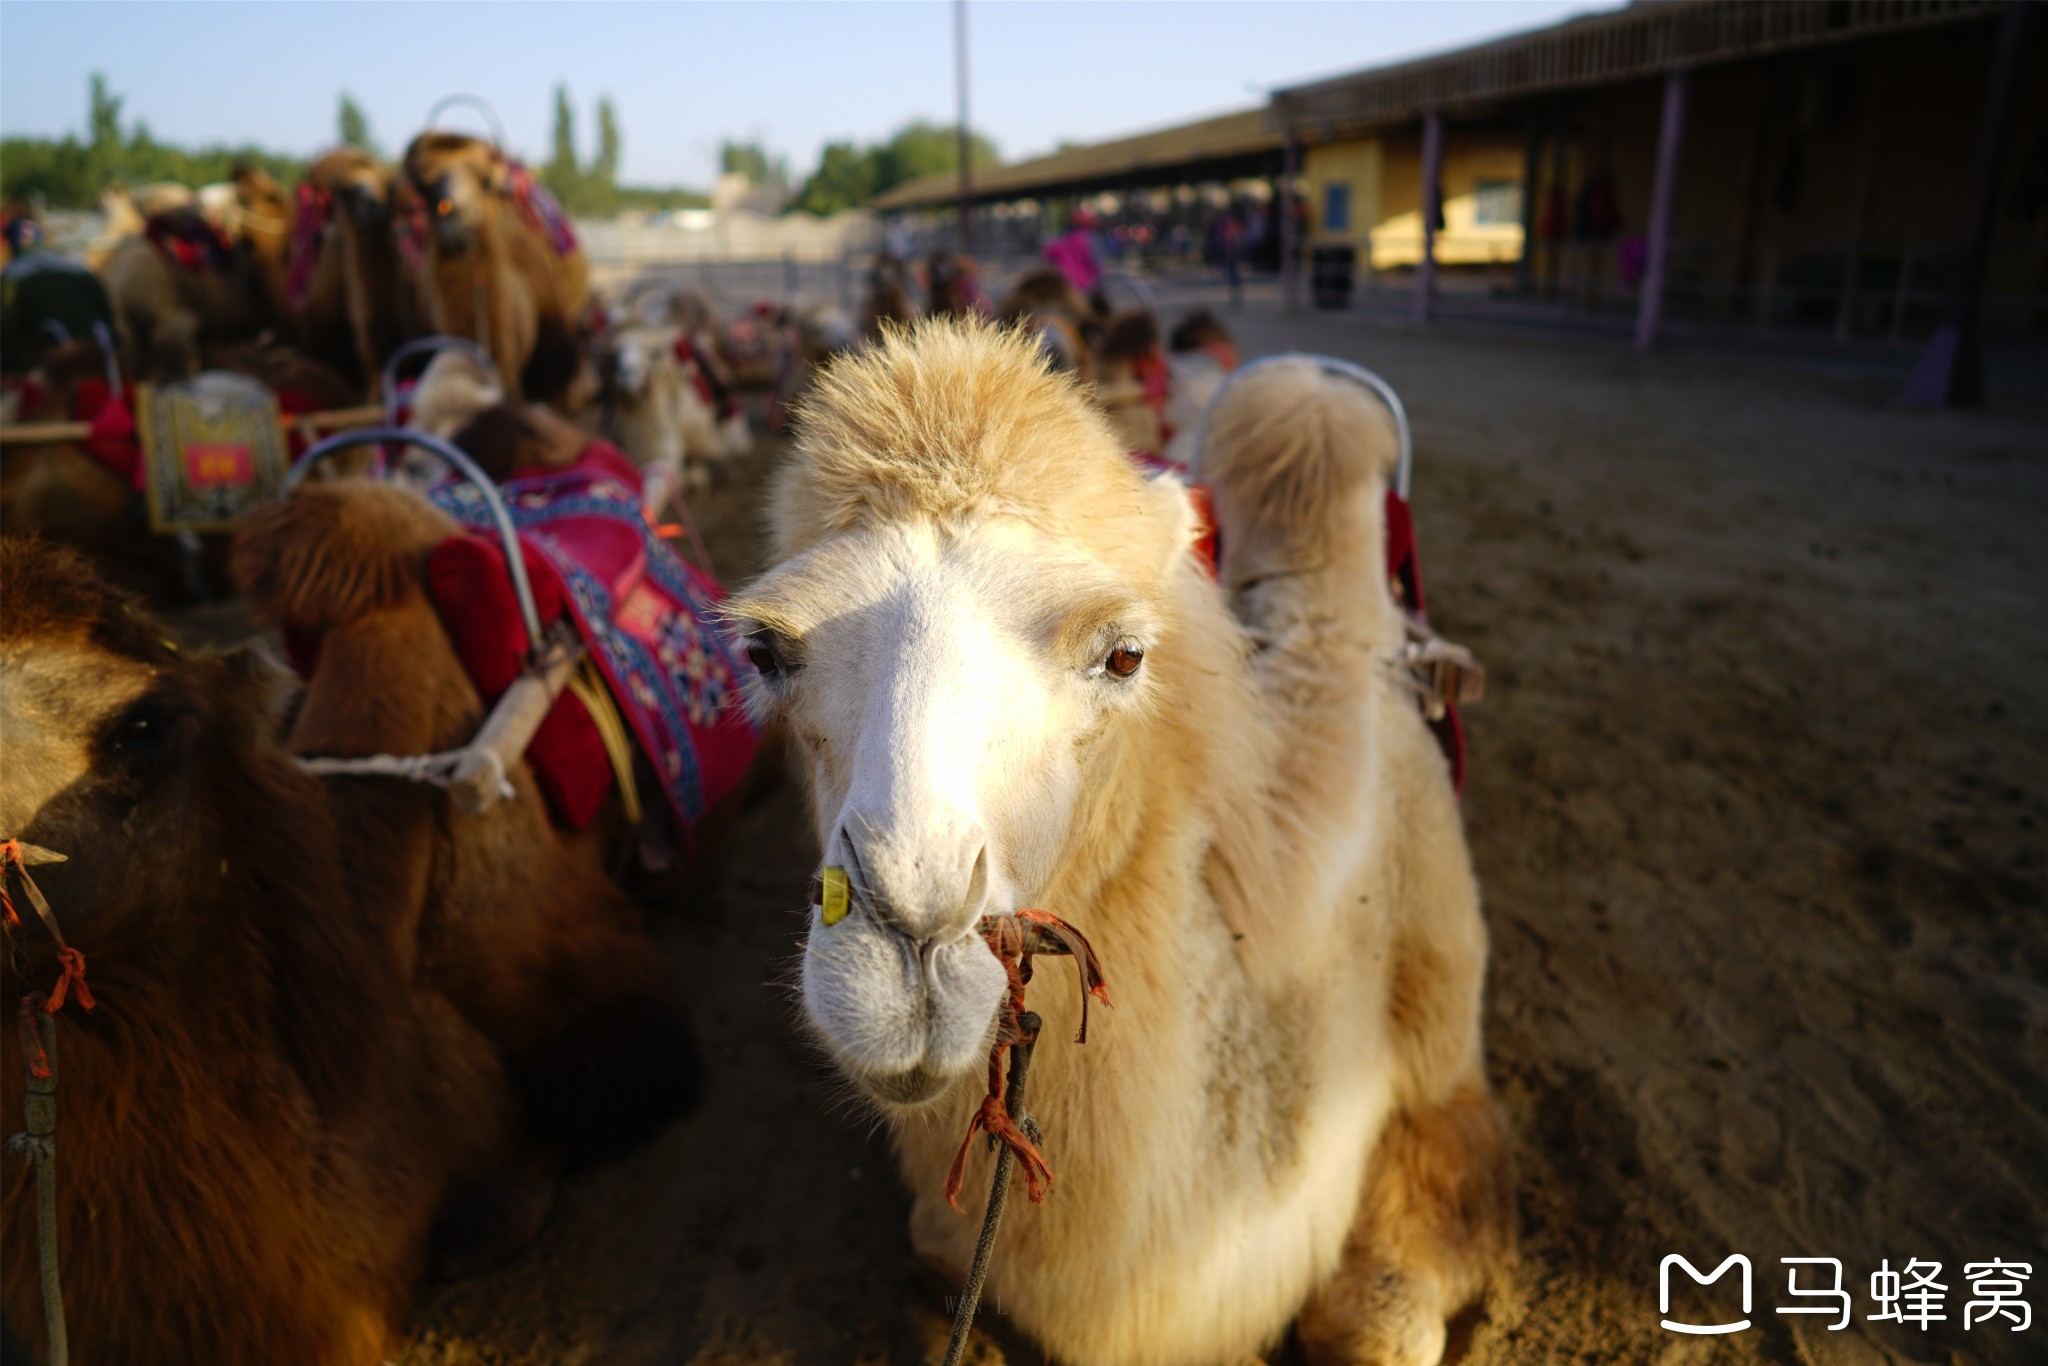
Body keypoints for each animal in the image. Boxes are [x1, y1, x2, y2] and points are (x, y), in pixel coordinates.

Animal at [733, 323, 1507, 1366]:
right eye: (766, 653)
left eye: (1125, 655)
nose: (911, 937)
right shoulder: (942, 1252)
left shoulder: (1445, 1087)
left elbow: (1377, 1316)